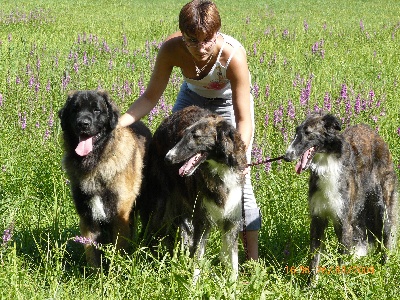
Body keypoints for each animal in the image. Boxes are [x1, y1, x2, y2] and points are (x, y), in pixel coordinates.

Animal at [59, 89, 152, 268]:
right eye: (75, 109)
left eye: (97, 110)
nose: (83, 124)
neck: (96, 163)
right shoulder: (88, 218)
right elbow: (92, 254)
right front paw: (96, 274)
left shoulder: (120, 217)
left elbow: (117, 251)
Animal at [140, 105, 247, 278]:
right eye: (184, 135)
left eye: (196, 136)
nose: (168, 158)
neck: (220, 170)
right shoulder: (202, 221)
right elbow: (197, 258)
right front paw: (193, 284)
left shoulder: (231, 222)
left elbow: (233, 263)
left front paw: (233, 285)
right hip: (160, 207)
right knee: (152, 233)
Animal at [284, 111, 396, 282]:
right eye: (296, 132)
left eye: (308, 133)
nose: (287, 156)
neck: (327, 163)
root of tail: (375, 135)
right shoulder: (318, 218)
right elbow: (314, 259)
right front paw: (311, 285)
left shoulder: (344, 221)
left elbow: (342, 260)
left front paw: (340, 284)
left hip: (383, 206)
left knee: (387, 237)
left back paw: (385, 268)